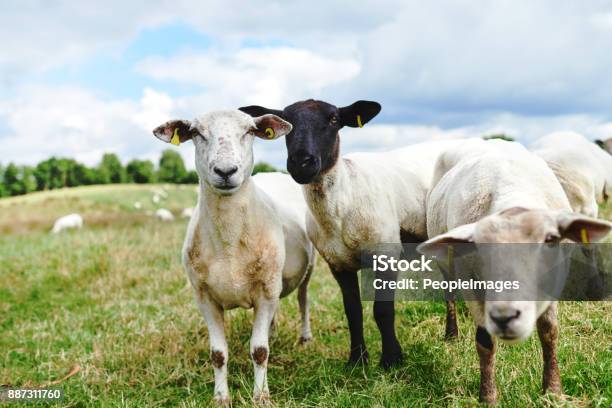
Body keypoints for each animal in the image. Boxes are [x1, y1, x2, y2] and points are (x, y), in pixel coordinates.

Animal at [153, 108, 316, 404]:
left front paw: (261, 397)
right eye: (195, 132)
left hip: (305, 271)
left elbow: (259, 351)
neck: (229, 244)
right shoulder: (204, 297)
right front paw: (220, 397)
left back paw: (305, 337)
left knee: (303, 300)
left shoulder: (265, 291)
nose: (226, 171)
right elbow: (218, 354)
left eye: (250, 131)